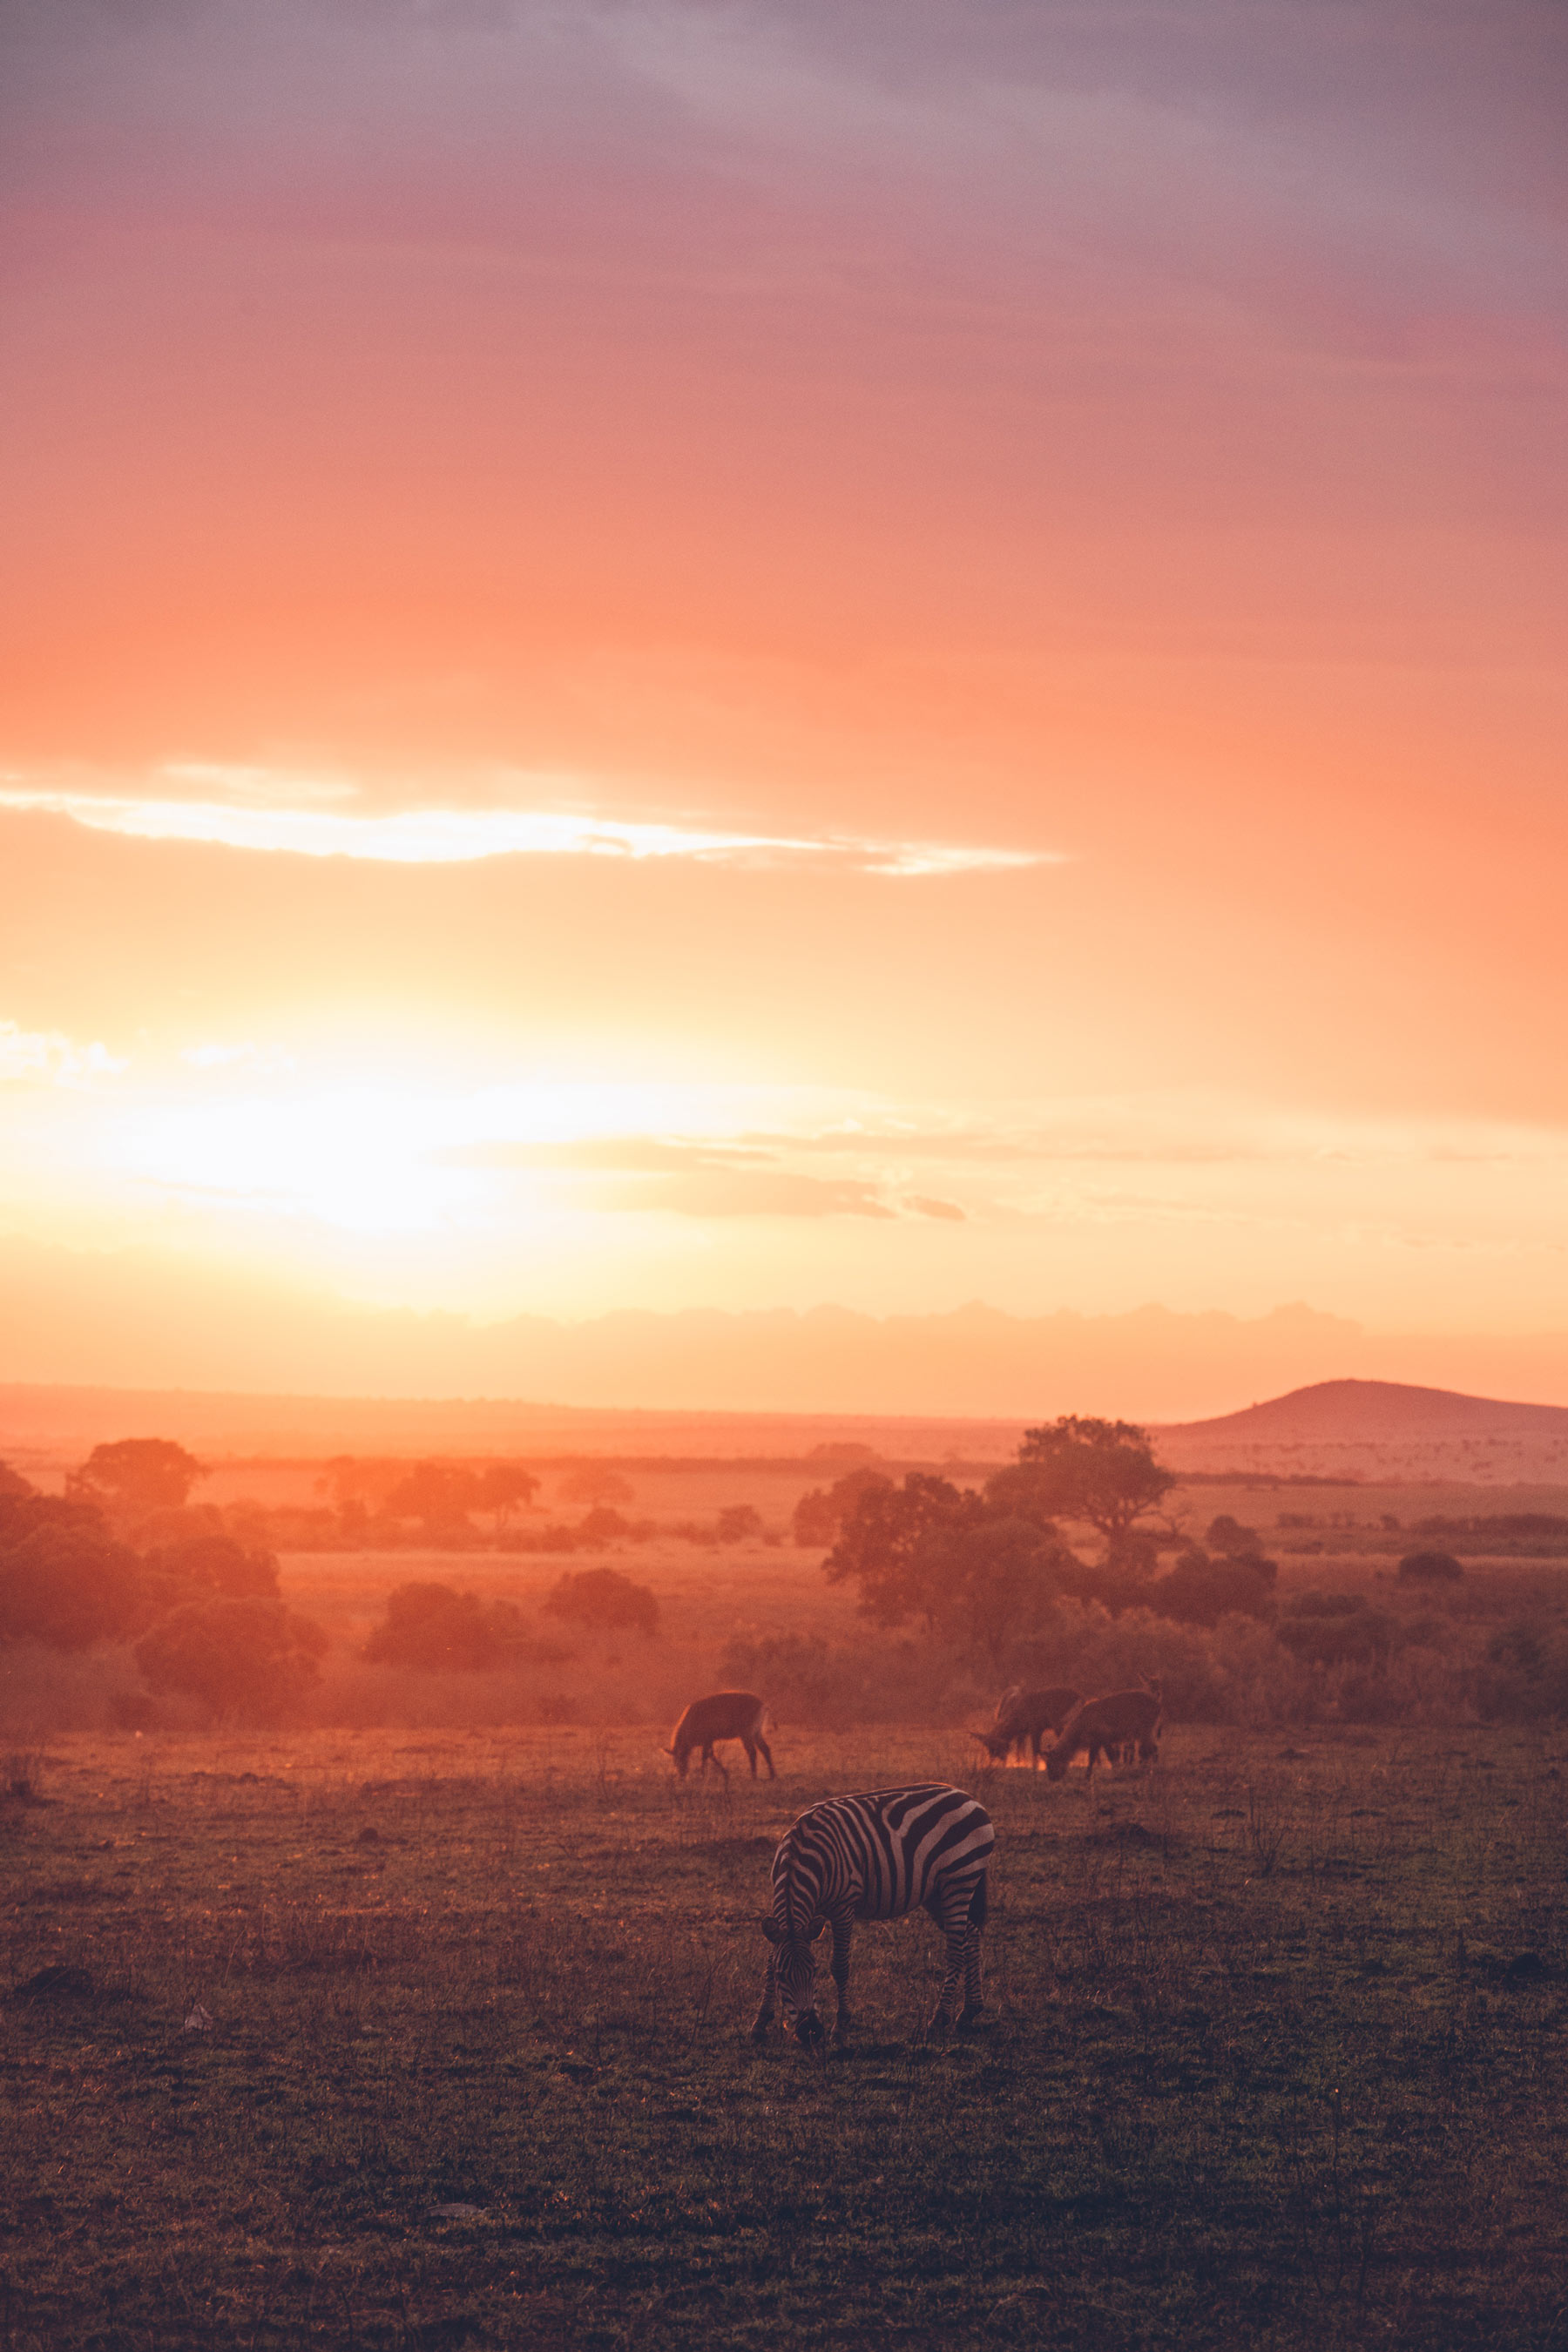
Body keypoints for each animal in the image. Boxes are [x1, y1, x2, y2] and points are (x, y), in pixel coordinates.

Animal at [752, 1788, 991, 2051]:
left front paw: (841, 2027)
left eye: (814, 1972)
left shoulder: (844, 1907)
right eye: (781, 1976)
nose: (811, 2032)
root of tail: (968, 1797)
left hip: (959, 1880)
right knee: (970, 1935)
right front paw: (760, 2022)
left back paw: (939, 2019)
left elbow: (840, 1966)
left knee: (956, 1951)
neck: (800, 1853)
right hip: (937, 1894)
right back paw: (969, 2012)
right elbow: (769, 1961)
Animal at [968, 1693, 1081, 1768]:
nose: (990, 1763)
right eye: (988, 1749)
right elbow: (1023, 1749)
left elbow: (1034, 1749)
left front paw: (1034, 1765)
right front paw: (1021, 1763)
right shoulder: (1024, 1732)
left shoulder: (1033, 1729)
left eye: (995, 1748)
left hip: (1060, 1725)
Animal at [1044, 1674, 1166, 1778]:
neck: (1082, 1723)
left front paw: (1117, 1772)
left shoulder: (1104, 1738)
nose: (1051, 1778)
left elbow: (1111, 1757)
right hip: (1146, 1732)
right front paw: (1087, 1776)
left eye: (1050, 1763)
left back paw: (1148, 1770)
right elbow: (1091, 1759)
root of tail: (1157, 1704)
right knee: (1152, 1748)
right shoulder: (1095, 1741)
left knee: (1148, 1750)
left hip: (1145, 1730)